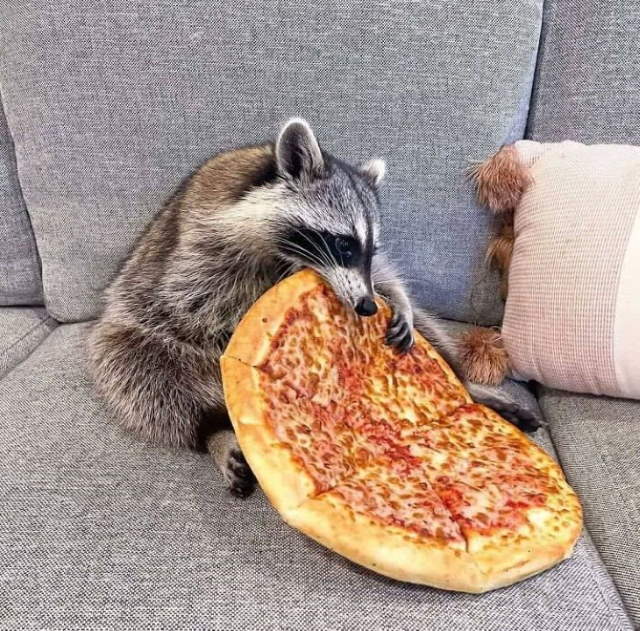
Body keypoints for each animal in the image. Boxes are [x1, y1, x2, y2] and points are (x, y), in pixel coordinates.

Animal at [88, 118, 539, 497]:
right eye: (343, 244)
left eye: (370, 250)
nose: (368, 307)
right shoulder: (199, 251)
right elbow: (197, 305)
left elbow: (390, 280)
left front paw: (399, 302)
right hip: (135, 335)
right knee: (142, 374)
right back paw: (213, 430)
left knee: (434, 337)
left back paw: (467, 387)